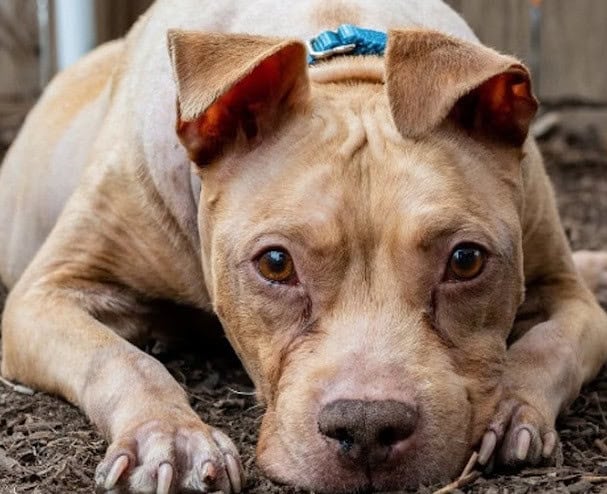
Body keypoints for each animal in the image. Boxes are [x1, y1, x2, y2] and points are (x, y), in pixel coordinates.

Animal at [1, 0, 607, 492]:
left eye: (466, 260)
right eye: (275, 264)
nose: (367, 426)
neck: (346, 68)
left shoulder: (565, 293)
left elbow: (550, 344)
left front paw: (512, 410)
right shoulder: (44, 295)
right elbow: (118, 359)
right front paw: (170, 435)